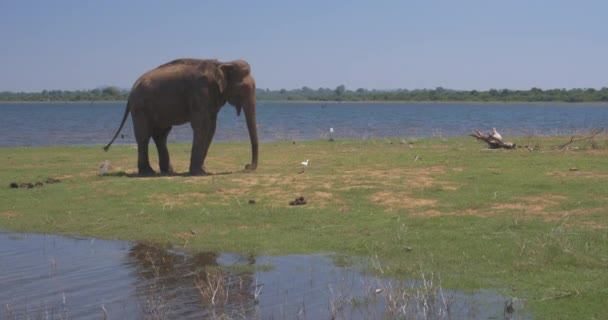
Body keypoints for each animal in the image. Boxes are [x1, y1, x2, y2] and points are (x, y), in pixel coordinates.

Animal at [102, 58, 258, 176]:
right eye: (243, 89)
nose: (247, 166)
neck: (222, 63)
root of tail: (131, 91)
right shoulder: (199, 94)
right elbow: (202, 126)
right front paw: (199, 173)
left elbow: (211, 128)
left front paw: (203, 170)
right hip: (140, 107)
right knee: (144, 135)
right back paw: (148, 172)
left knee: (161, 135)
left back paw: (168, 171)